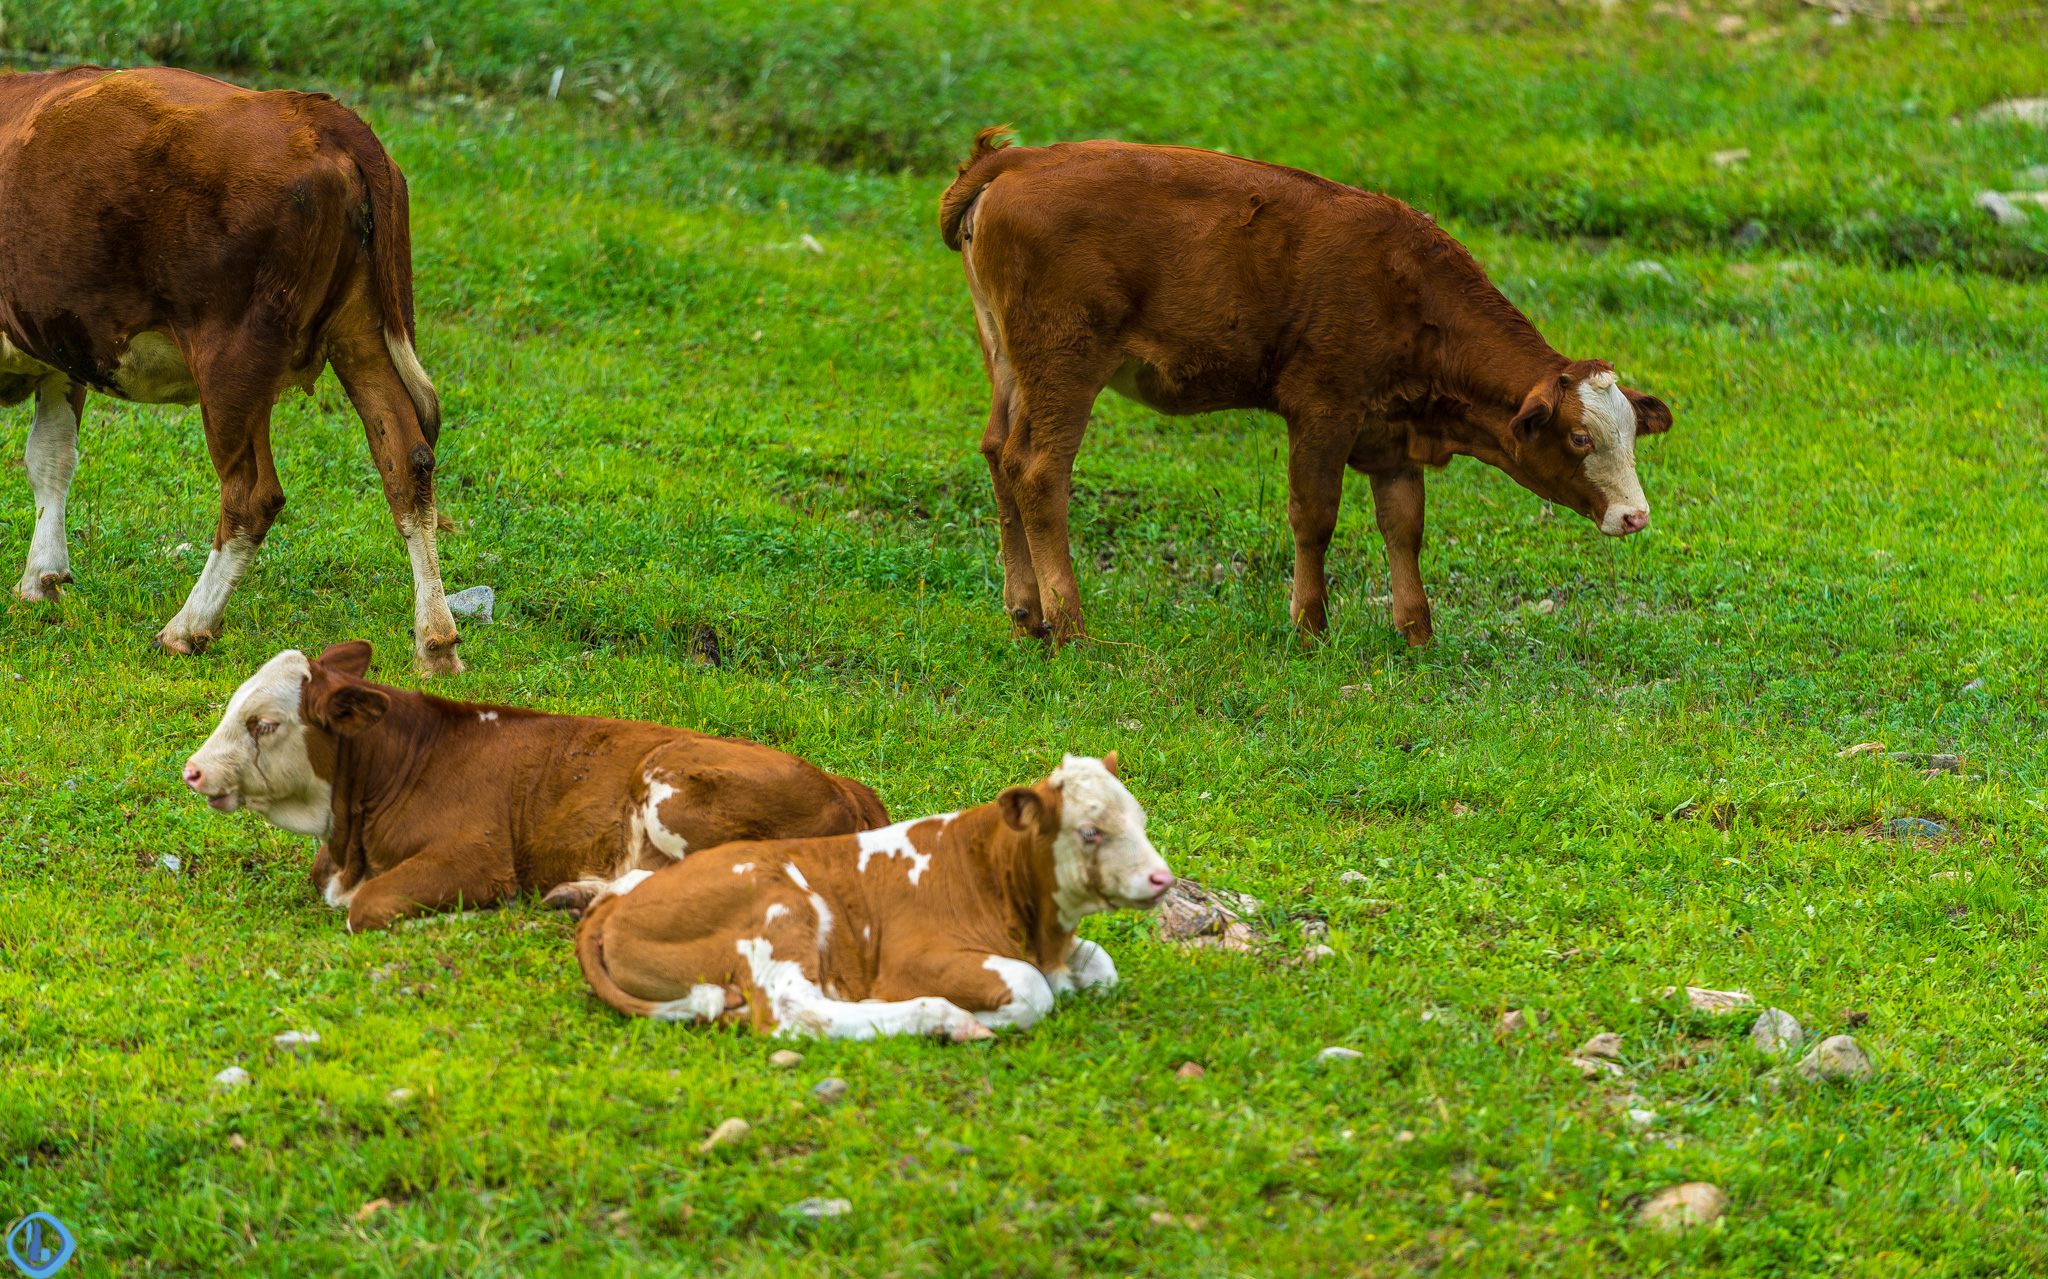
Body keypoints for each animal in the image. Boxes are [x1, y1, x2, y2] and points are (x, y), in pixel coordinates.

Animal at [3, 63, 460, 667]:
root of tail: (315, 111)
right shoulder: (60, 351)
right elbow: (51, 457)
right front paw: (42, 578)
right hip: (363, 333)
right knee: (406, 463)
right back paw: (436, 641)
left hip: (232, 355)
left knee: (252, 494)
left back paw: (187, 626)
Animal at [188, 638, 892, 929]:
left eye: (264, 723)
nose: (192, 770)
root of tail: (844, 784)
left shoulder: (477, 856)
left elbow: (371, 908)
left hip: (672, 785)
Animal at [573, 748, 1171, 1039]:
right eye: (1090, 831)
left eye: (1140, 820)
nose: (1161, 879)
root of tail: (610, 908)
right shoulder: (912, 958)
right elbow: (1032, 988)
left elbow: (1101, 966)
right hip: (778, 908)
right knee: (795, 1014)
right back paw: (941, 1019)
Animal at [937, 129, 1671, 646]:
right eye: (1579, 437)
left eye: (1632, 436)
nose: (1636, 515)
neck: (1409, 291)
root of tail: (1020, 160)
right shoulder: (1323, 408)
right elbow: (1314, 516)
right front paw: (1310, 626)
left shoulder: (1391, 431)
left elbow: (1403, 526)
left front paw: (1418, 632)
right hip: (1066, 359)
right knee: (1040, 472)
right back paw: (1070, 626)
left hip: (1009, 360)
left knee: (999, 455)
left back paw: (1026, 614)